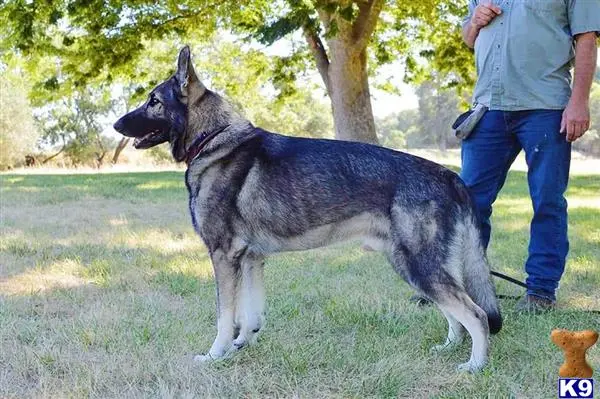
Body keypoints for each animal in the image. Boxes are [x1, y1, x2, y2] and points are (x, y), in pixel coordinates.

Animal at [112, 47, 502, 376]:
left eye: (153, 101)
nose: (116, 125)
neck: (213, 139)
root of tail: (449, 175)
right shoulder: (251, 260)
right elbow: (249, 317)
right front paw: (241, 346)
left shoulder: (224, 257)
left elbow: (225, 317)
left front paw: (215, 355)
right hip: (417, 266)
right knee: (455, 314)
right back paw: (449, 348)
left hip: (419, 265)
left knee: (476, 314)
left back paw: (475, 366)